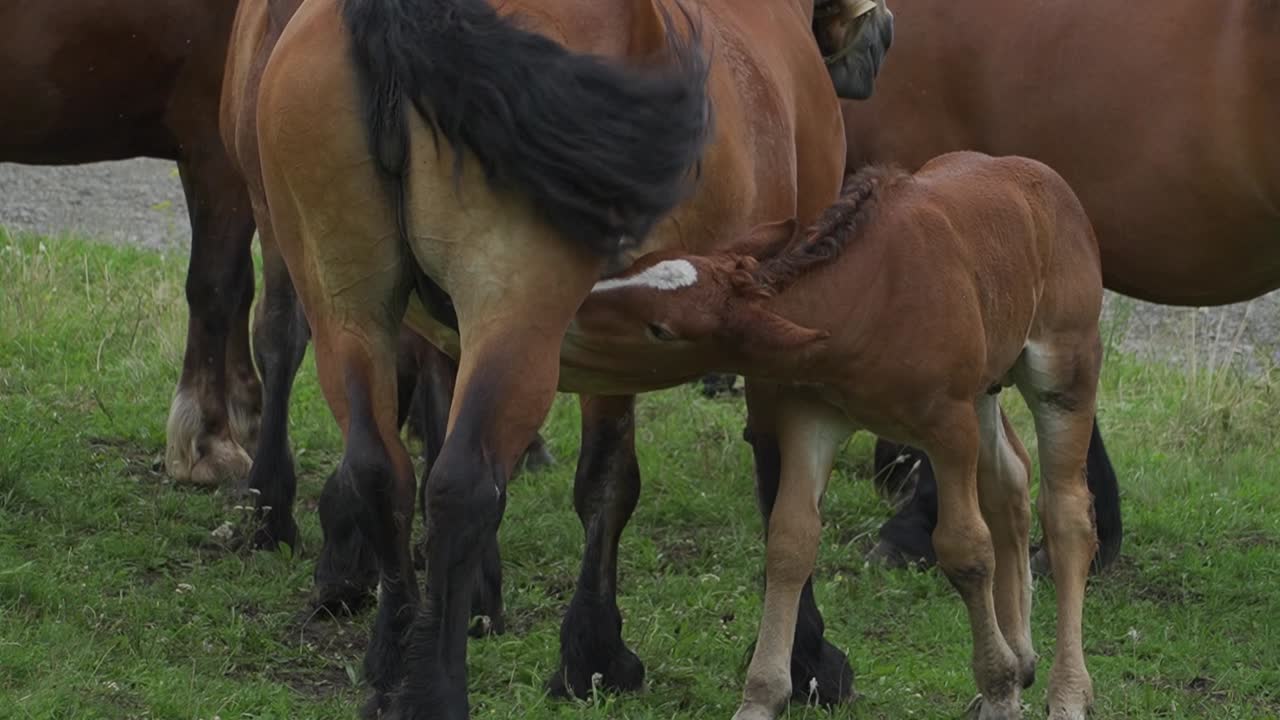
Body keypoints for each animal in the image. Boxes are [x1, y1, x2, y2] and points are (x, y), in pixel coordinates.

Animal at [229, 0, 893, 715]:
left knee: (381, 470)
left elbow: (605, 480)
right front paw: (805, 656)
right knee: (461, 485)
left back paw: (389, 665)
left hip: (349, 312)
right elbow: (768, 484)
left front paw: (589, 656)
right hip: (516, 317)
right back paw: (434, 689)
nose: (883, 32)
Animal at [575, 153, 1104, 720]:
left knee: (1067, 513)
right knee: (1009, 480)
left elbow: (966, 550)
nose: (574, 308)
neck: (868, 298)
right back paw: (1024, 656)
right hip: (985, 386)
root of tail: (1047, 179)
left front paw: (1000, 688)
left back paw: (1067, 691)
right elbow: (789, 541)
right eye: (637, 267)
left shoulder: (949, 426)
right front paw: (761, 697)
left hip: (1064, 372)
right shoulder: (812, 415)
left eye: (661, 329)